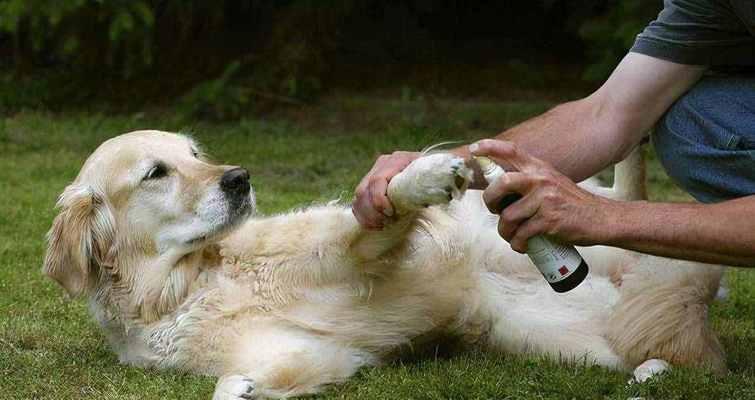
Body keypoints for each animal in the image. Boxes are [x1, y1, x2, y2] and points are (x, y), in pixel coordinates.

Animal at [45, 130, 728, 396]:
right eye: (156, 173)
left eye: (195, 154)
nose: (239, 179)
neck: (189, 281)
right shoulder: (302, 354)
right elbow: (231, 386)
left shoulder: (358, 252)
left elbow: (379, 210)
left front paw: (424, 174)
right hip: (567, 338)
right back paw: (652, 371)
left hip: (570, 230)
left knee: (627, 200)